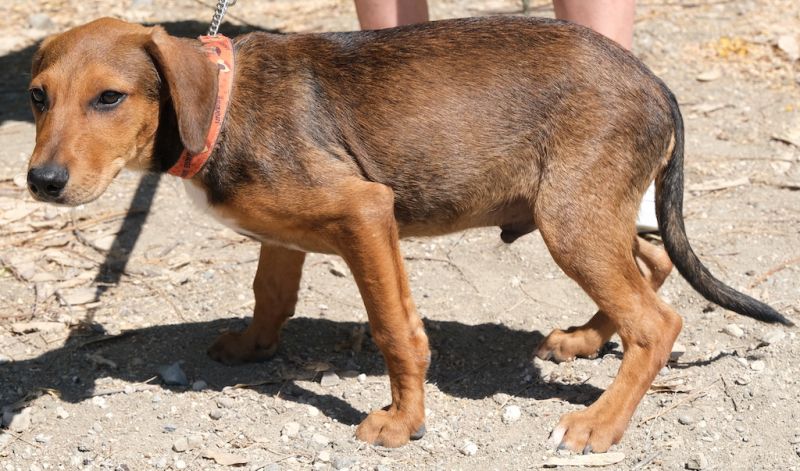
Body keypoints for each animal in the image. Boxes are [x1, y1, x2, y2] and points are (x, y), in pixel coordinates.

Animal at [26, 16, 792, 453]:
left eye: (109, 98)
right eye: (36, 97)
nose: (41, 182)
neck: (218, 105)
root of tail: (657, 82)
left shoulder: (366, 213)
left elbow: (396, 330)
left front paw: (401, 422)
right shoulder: (287, 233)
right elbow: (270, 294)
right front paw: (251, 347)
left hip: (570, 217)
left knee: (657, 321)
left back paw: (597, 424)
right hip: (581, 209)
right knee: (653, 263)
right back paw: (583, 338)